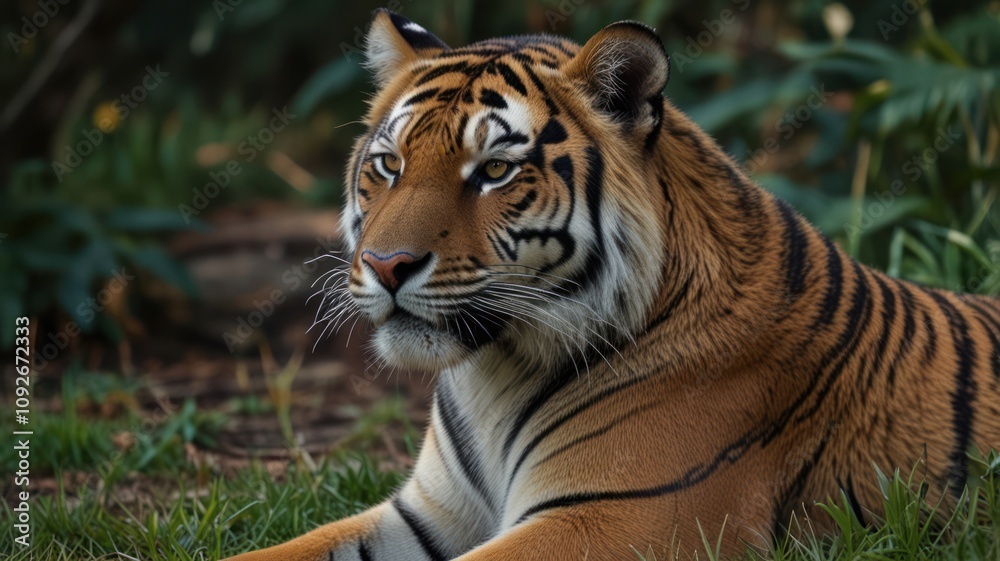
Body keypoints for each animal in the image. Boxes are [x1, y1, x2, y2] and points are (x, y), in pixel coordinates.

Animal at [226, 9, 1000, 561]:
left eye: (495, 171)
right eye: (389, 164)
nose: (387, 265)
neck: (491, 373)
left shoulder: (617, 518)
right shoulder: (425, 513)